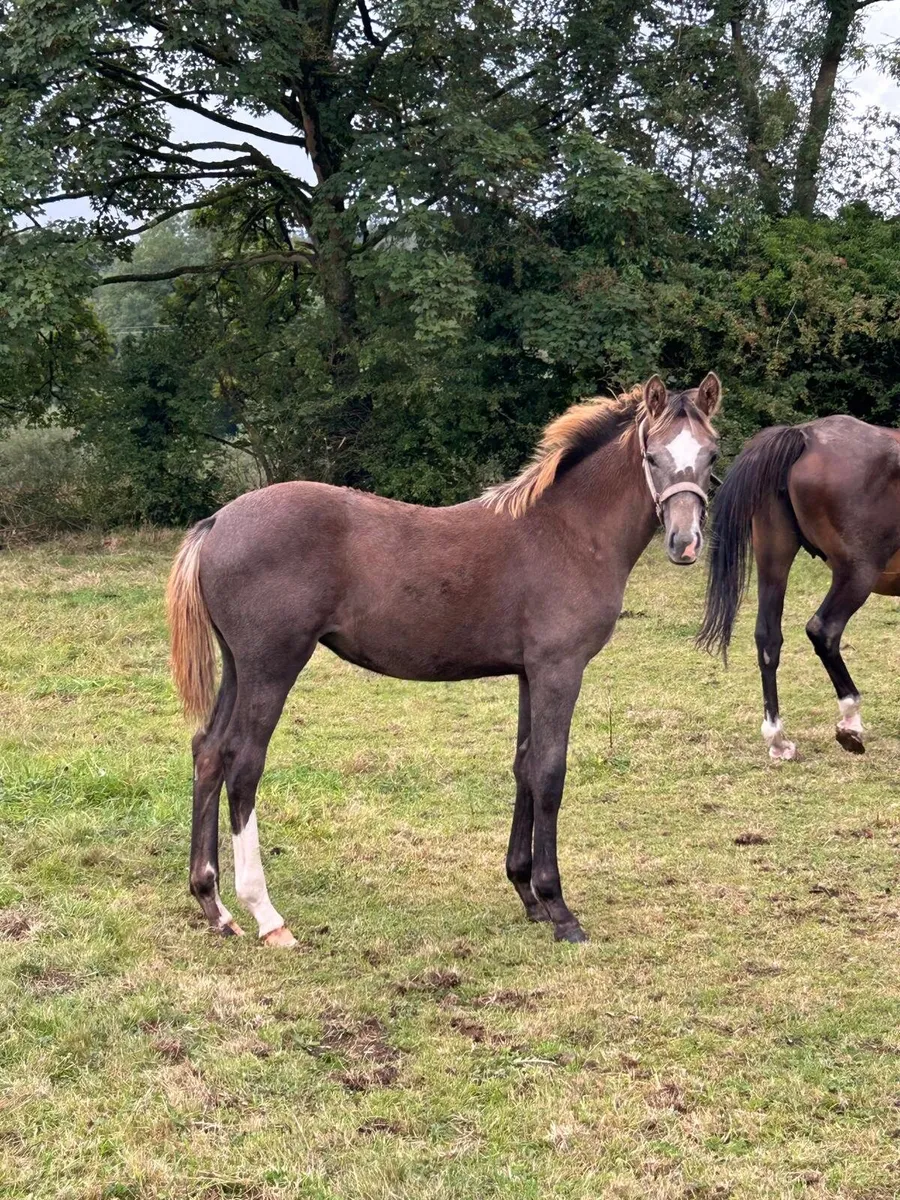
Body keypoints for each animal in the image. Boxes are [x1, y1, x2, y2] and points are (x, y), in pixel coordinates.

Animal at [167, 374, 722, 946]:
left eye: (712, 453)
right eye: (653, 456)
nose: (685, 543)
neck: (569, 530)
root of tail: (218, 521)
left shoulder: (529, 673)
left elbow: (524, 764)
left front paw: (527, 894)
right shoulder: (559, 669)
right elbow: (549, 773)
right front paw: (559, 908)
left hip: (238, 666)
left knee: (208, 752)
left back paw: (214, 905)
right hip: (271, 667)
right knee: (243, 764)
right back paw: (266, 915)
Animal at [698, 414, 900, 760]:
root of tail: (803, 435)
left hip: (774, 560)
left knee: (767, 638)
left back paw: (778, 739)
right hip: (857, 574)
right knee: (824, 630)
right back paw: (850, 723)